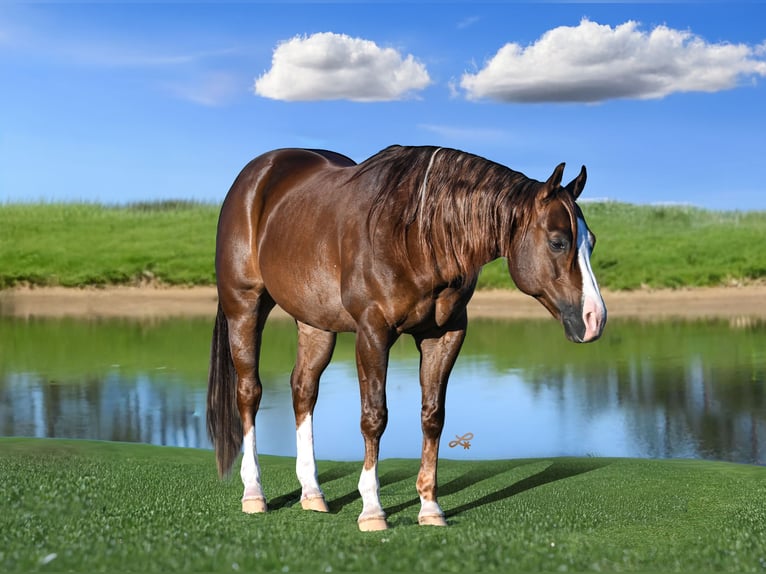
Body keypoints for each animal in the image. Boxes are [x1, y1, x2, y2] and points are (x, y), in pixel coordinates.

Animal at [207, 145, 606, 531]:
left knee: (303, 390)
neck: (415, 235)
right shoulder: (373, 332)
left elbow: (433, 416)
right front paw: (372, 510)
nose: (595, 319)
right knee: (249, 393)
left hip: (315, 323)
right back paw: (254, 492)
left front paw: (430, 508)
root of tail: (258, 173)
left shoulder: (444, 335)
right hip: (245, 307)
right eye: (557, 242)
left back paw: (312, 493)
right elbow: (374, 417)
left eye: (591, 242)